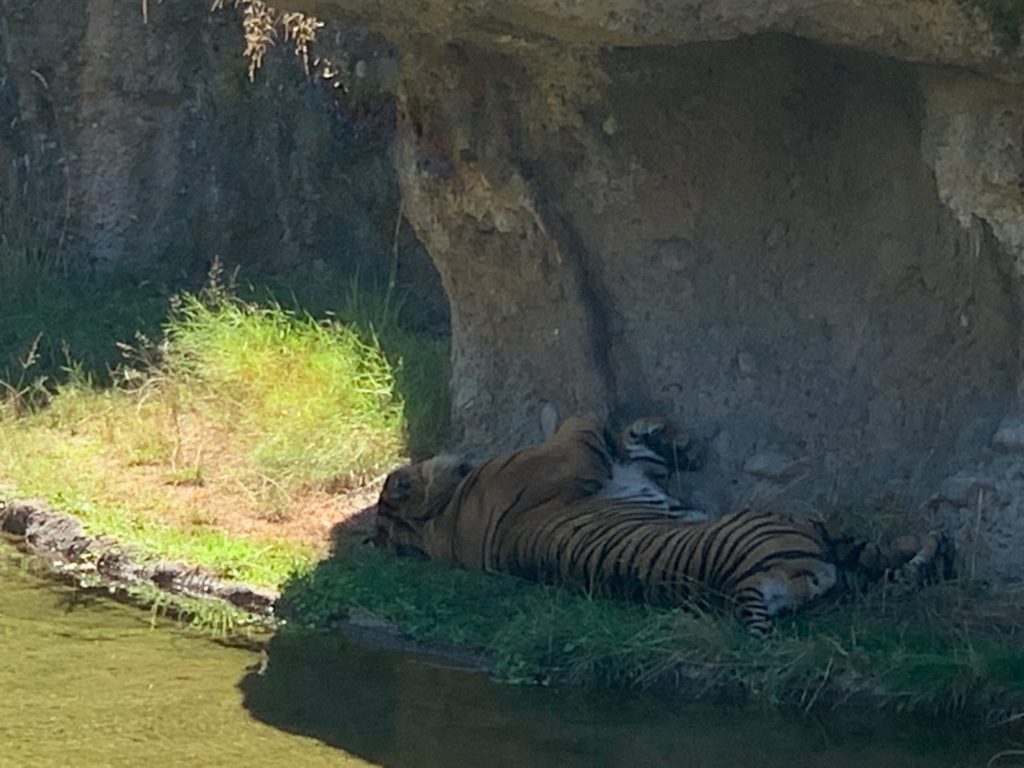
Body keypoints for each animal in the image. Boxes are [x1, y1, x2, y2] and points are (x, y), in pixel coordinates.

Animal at [372, 415, 954, 638]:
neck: (439, 522)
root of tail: (739, 588)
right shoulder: (573, 456)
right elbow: (585, 423)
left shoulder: (620, 467)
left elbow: (628, 440)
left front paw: (668, 438)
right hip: (799, 522)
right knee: (885, 558)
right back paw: (938, 541)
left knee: (887, 570)